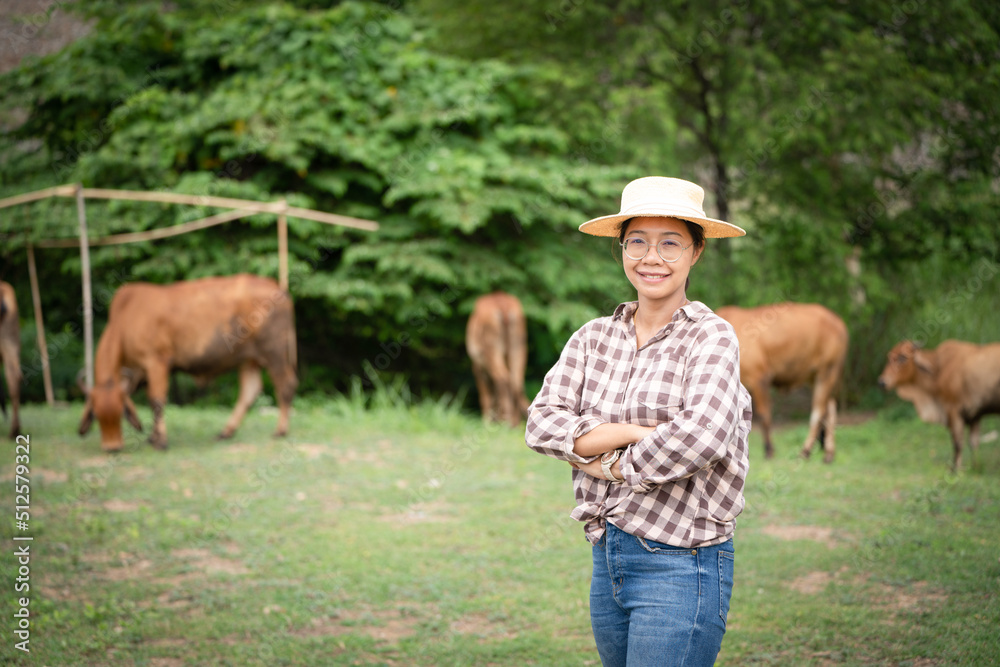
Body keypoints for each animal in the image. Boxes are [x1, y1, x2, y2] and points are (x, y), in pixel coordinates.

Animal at [79, 272, 296, 454]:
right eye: (96, 415)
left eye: (119, 414)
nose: (112, 448)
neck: (123, 322)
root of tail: (278, 288)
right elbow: (151, 402)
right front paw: (153, 437)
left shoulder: (156, 362)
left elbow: (157, 401)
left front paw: (160, 441)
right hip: (248, 359)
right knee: (249, 391)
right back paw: (226, 431)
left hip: (274, 353)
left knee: (285, 385)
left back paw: (281, 430)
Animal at [466, 292, 532, 428]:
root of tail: (503, 306)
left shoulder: (478, 366)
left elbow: (486, 396)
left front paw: (487, 422)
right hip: (519, 346)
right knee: (516, 382)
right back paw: (514, 422)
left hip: (490, 351)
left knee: (503, 380)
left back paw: (506, 422)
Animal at [716, 304, 848, 464]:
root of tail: (837, 321)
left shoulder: (760, 379)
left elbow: (764, 416)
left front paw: (769, 450)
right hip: (815, 376)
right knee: (830, 409)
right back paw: (829, 453)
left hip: (828, 371)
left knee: (818, 412)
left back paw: (805, 451)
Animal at [880, 340, 996, 470]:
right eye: (889, 357)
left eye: (903, 357)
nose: (882, 382)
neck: (938, 368)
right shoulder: (975, 416)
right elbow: (974, 443)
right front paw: (976, 467)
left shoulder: (954, 412)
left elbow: (958, 443)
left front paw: (955, 469)